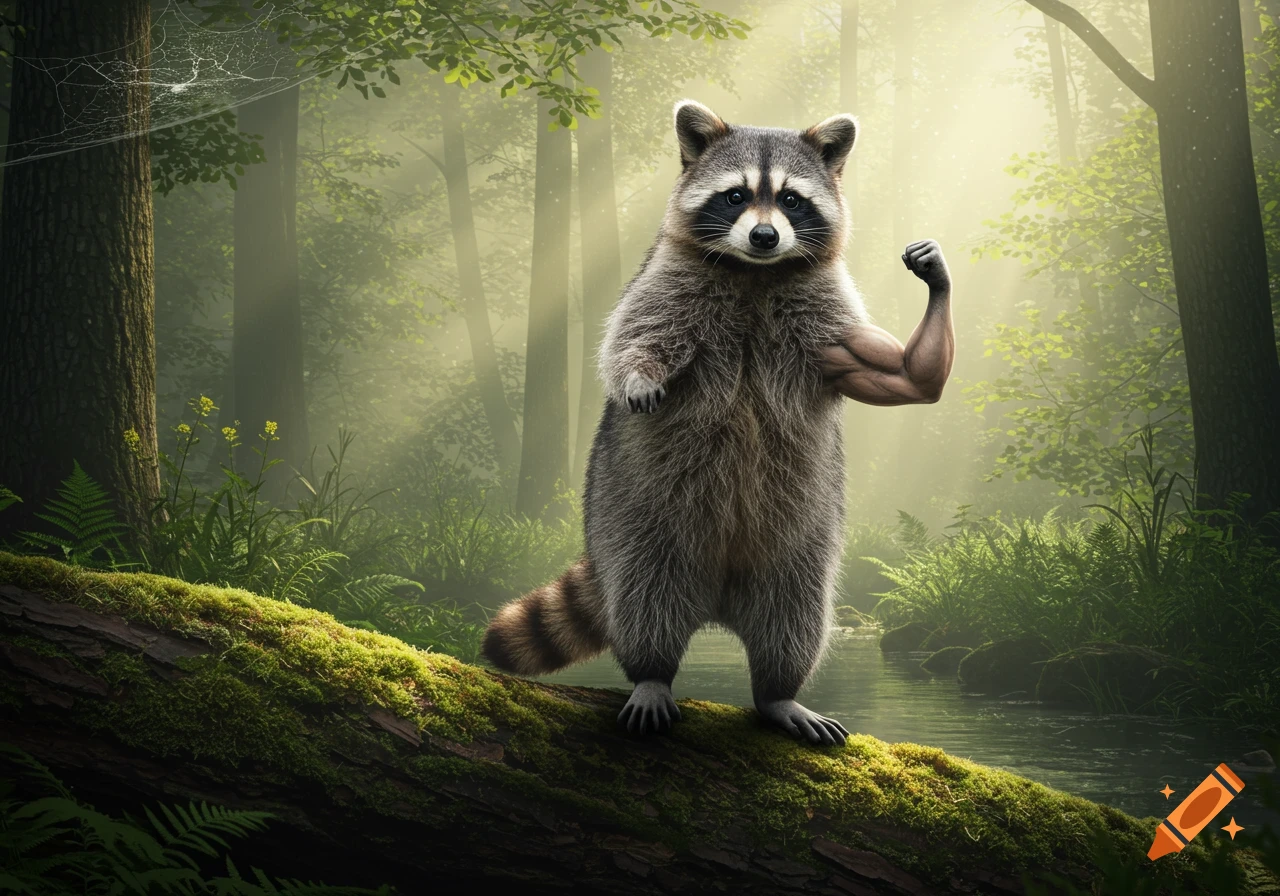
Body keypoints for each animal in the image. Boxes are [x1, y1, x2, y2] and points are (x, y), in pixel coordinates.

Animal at [483, 100, 953, 746]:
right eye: (735, 197)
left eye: (791, 200)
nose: (764, 235)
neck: (755, 272)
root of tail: (716, 599)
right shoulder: (663, 283)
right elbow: (628, 342)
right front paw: (638, 375)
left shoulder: (831, 322)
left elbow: (908, 377)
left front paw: (938, 280)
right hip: (632, 521)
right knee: (645, 598)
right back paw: (652, 672)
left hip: (801, 543)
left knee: (795, 617)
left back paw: (779, 693)